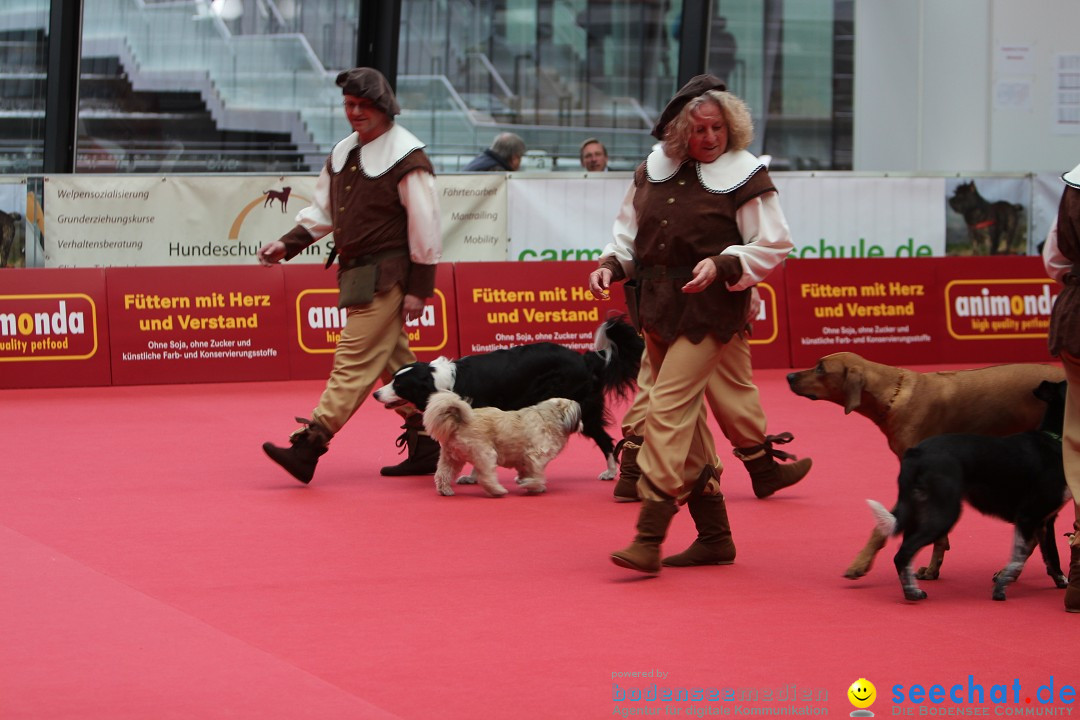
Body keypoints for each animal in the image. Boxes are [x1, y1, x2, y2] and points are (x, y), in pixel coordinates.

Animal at [423, 390, 587, 498]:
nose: (582, 423)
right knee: (486, 478)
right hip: (486, 454)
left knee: (442, 474)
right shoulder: (535, 457)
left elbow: (526, 472)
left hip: (452, 458)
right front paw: (532, 485)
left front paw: (526, 482)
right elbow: (537, 476)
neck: (548, 418)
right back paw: (497, 491)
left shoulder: (524, 461)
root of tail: (460, 420)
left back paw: (445, 490)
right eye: (579, 417)